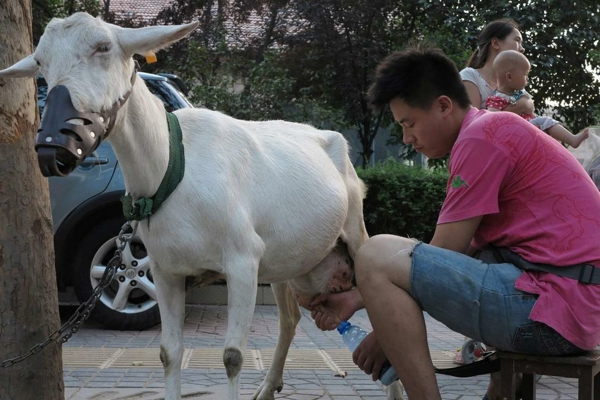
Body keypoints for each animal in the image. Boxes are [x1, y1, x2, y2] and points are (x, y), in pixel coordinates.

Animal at [1, 12, 404, 400]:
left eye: (103, 47)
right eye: (40, 62)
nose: (54, 148)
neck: (172, 165)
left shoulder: (242, 261)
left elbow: (233, 356)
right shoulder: (165, 270)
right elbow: (169, 352)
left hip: (354, 231)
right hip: (283, 263)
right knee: (290, 319)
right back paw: (267, 388)